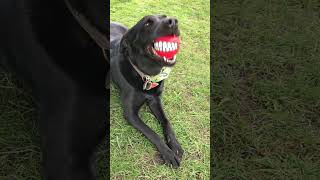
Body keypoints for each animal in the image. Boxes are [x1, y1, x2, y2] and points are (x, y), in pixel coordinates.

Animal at [110, 15, 184, 167]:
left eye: (165, 16)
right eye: (147, 23)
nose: (173, 21)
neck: (147, 75)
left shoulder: (155, 101)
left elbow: (166, 122)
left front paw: (175, 145)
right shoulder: (131, 114)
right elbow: (151, 132)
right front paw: (168, 153)